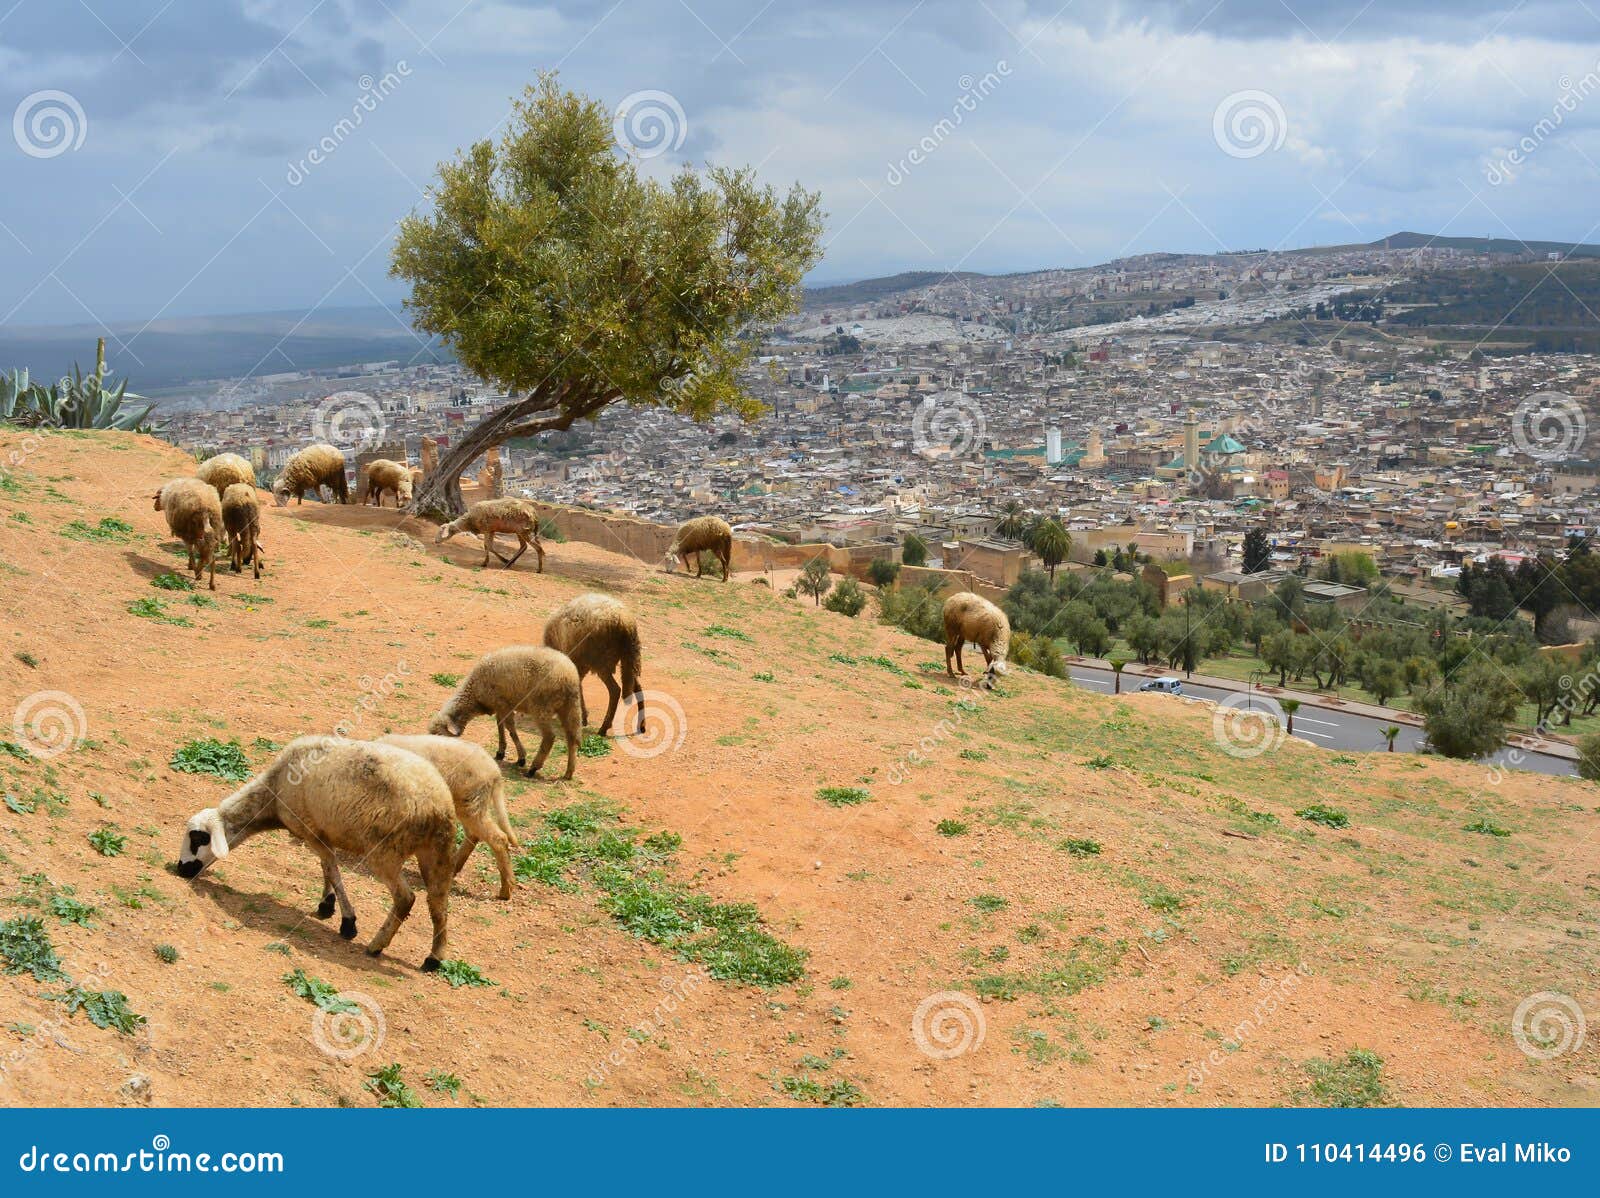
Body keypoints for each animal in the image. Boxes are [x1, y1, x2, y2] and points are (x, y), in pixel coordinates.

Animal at [176, 732, 457, 966]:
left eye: (198, 838)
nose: (180, 869)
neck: (274, 792)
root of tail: (436, 804)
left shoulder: (309, 830)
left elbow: (331, 869)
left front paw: (347, 923)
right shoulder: (322, 832)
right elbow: (326, 867)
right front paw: (327, 904)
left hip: (384, 851)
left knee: (405, 898)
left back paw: (376, 945)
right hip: (437, 851)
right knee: (438, 902)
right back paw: (434, 958)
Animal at [376, 729, 512, 895]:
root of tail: (496, 772)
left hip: (471, 803)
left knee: (498, 838)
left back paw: (506, 891)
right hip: (469, 804)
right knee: (474, 835)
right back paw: (454, 869)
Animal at [428, 646, 585, 777]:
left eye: (439, 735)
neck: (473, 694)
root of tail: (569, 675)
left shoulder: (504, 704)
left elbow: (510, 728)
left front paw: (521, 758)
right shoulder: (500, 705)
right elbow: (500, 725)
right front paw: (501, 752)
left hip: (541, 707)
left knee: (549, 737)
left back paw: (533, 768)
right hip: (569, 707)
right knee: (572, 737)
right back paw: (569, 772)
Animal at [544, 591, 643, 732]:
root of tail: (624, 622)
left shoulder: (577, 663)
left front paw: (582, 717)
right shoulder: (579, 665)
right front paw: (583, 717)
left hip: (601, 662)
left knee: (615, 690)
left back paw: (604, 728)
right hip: (629, 659)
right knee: (637, 687)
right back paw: (642, 725)